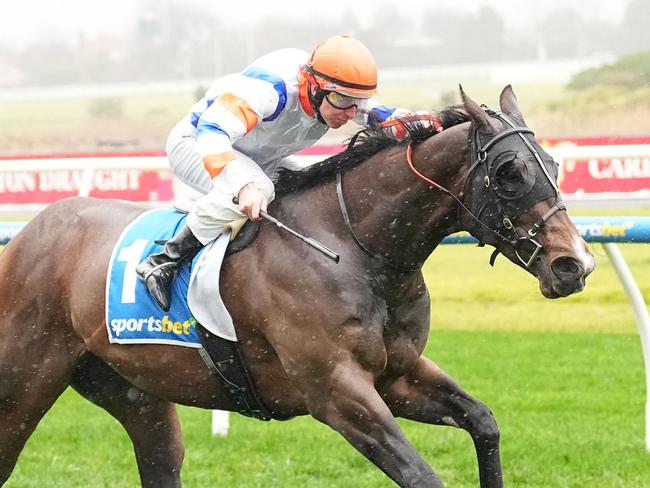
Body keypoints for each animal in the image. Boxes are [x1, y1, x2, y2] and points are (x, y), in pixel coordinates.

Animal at [0, 87, 592, 488]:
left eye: (555, 163)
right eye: (510, 172)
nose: (575, 264)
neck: (354, 249)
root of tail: (30, 232)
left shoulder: (396, 376)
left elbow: (483, 422)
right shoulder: (336, 391)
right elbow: (422, 475)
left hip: (133, 393)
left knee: (160, 459)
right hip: (22, 385)